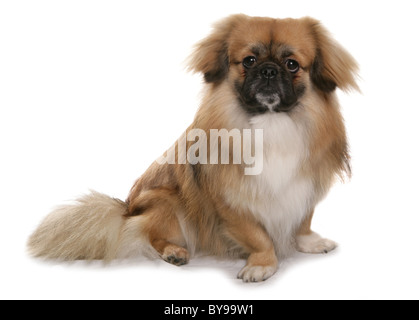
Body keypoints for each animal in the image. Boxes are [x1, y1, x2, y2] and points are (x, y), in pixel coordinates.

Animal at [27, 14, 360, 282]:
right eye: (249, 61)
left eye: (292, 65)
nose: (268, 71)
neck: (271, 122)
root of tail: (126, 209)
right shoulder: (231, 202)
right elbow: (259, 236)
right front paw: (263, 264)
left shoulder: (304, 185)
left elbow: (303, 220)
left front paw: (308, 242)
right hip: (166, 203)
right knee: (149, 234)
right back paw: (174, 251)